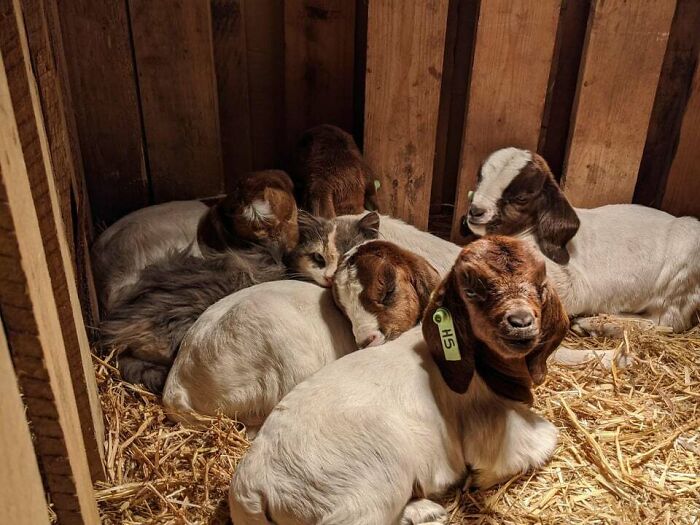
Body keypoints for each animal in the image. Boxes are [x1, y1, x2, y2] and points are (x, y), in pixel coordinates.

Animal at [228, 236, 569, 525]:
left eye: (539, 284)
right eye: (471, 290)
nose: (520, 324)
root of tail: (252, 489)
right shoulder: (490, 428)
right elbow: (547, 438)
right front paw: (477, 478)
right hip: (370, 491)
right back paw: (427, 511)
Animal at [462, 148, 700, 333]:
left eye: (521, 198)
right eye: (479, 178)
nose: (476, 211)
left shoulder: (571, 284)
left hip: (681, 277)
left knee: (666, 322)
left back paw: (595, 325)